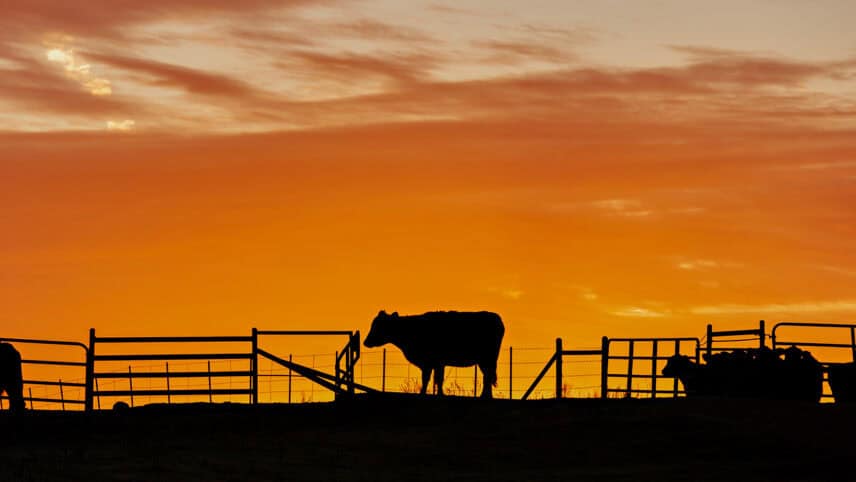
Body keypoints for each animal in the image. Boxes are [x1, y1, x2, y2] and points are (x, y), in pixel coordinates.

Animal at [364, 310, 505, 398]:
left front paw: (425, 393)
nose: (365, 342)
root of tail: (496, 318)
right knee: (488, 376)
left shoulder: (432, 362)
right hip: (485, 360)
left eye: (378, 325)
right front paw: (436, 393)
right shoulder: (435, 364)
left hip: (488, 358)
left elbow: (431, 378)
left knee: (488, 376)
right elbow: (435, 379)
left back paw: (485, 396)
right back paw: (486, 396)